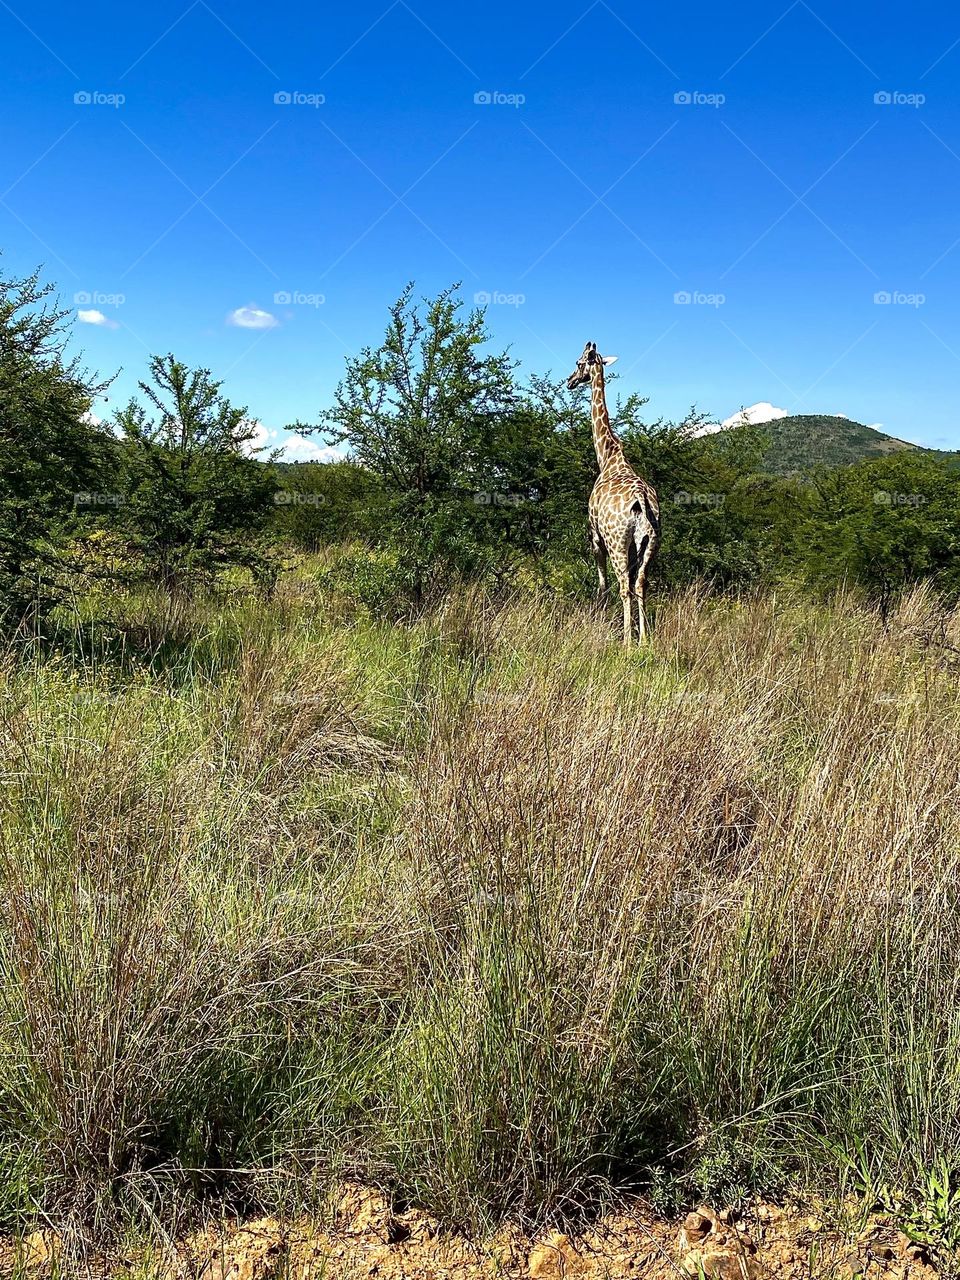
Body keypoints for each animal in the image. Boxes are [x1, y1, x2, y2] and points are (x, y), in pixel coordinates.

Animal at [568, 340, 665, 645]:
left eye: (578, 363)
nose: (569, 381)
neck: (608, 457)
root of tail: (642, 502)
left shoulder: (594, 534)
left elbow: (602, 583)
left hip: (617, 542)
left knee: (624, 584)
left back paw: (627, 642)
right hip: (651, 543)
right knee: (641, 583)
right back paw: (644, 640)